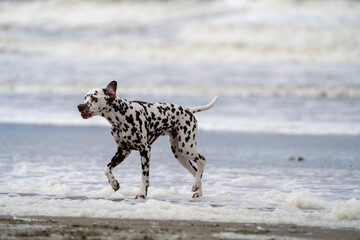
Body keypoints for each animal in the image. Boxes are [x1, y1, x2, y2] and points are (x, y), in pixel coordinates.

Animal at [76, 81, 217, 199]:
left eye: (94, 98)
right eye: (84, 97)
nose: (79, 106)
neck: (122, 115)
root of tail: (189, 111)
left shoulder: (145, 150)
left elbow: (144, 176)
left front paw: (142, 193)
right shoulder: (123, 151)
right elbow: (106, 168)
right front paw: (114, 183)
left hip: (186, 148)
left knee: (202, 161)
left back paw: (196, 185)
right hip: (179, 154)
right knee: (195, 171)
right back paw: (198, 190)